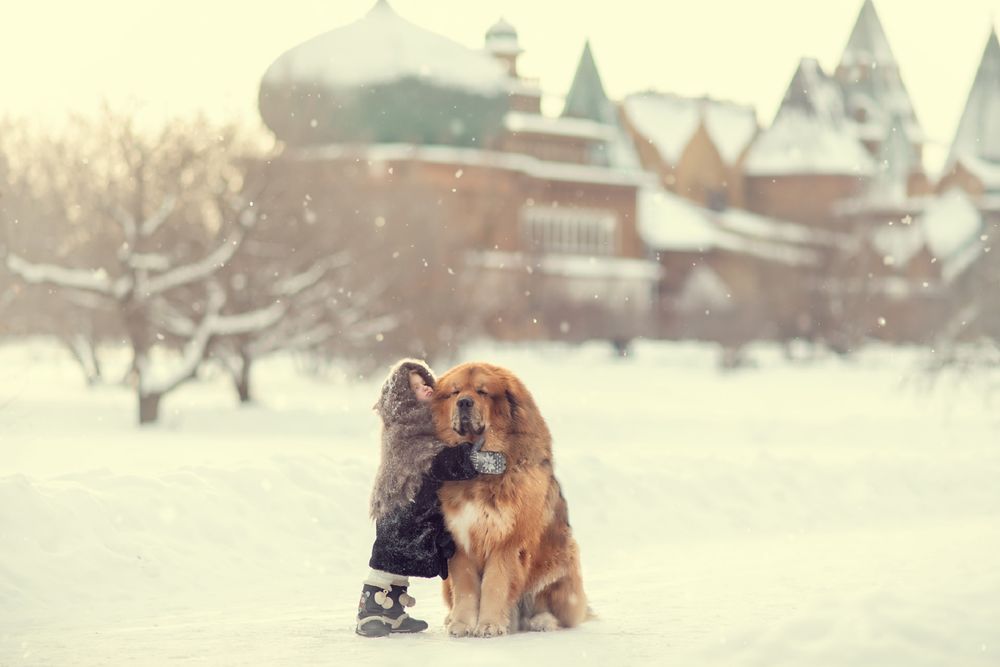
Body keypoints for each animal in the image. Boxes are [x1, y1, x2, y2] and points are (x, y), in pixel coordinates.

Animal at [434, 362, 588, 640]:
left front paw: (489, 625)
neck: (478, 467)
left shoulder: (507, 542)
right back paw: (451, 618)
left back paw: (543, 621)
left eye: (482, 392)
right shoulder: (459, 542)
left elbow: (495, 585)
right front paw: (462, 624)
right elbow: (466, 588)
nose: (464, 402)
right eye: (455, 392)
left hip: (562, 560)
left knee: (554, 609)